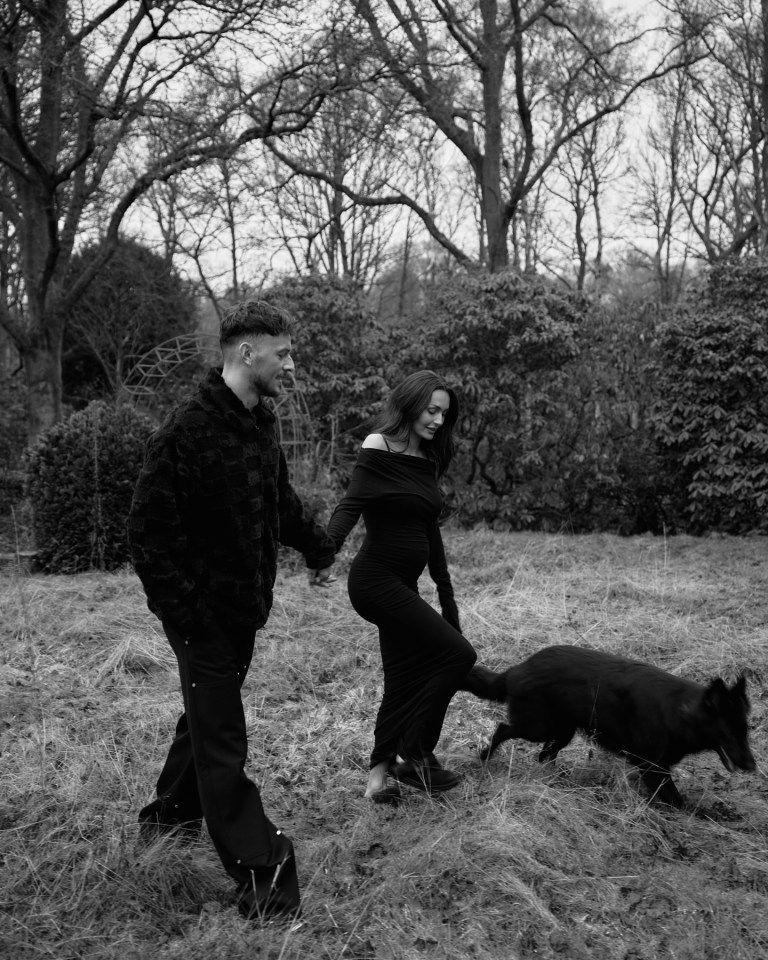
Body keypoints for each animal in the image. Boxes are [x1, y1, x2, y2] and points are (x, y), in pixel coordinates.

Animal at [462, 640, 756, 808]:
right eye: (728, 731)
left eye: (745, 730)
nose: (752, 767)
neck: (680, 711)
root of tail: (517, 669)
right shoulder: (653, 768)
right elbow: (678, 801)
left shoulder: (655, 767)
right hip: (539, 727)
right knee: (503, 729)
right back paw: (485, 756)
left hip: (563, 732)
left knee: (545, 755)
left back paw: (556, 780)